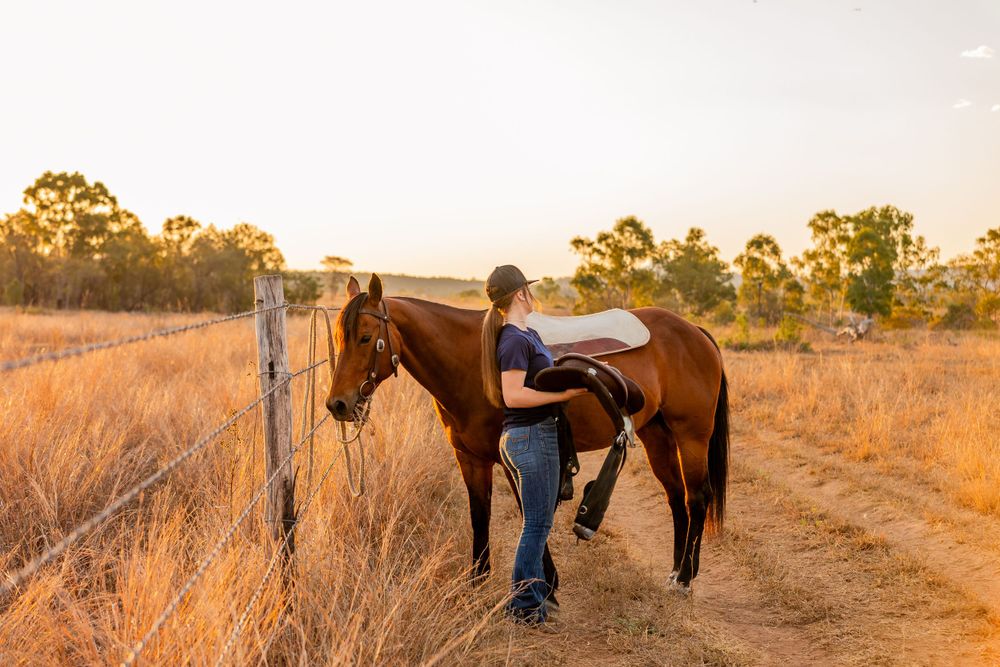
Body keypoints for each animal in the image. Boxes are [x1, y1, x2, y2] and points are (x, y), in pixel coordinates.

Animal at [325, 273, 729, 596]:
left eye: (366, 338)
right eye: (339, 338)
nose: (337, 404)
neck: (473, 360)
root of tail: (694, 331)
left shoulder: (511, 460)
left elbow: (527, 511)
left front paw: (543, 583)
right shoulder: (470, 458)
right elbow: (480, 513)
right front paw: (478, 580)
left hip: (691, 436)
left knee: (696, 498)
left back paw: (685, 579)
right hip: (656, 435)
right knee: (675, 497)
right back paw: (676, 570)